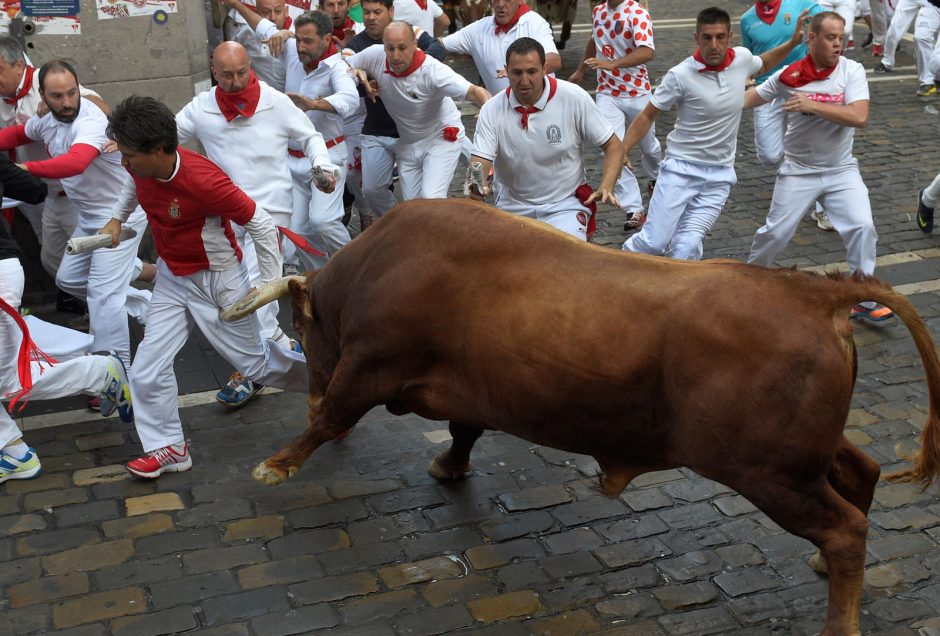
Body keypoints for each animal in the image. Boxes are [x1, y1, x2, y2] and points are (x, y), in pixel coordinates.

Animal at [226, 200, 940, 636]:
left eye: (303, 331)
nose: (306, 385)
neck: (377, 266)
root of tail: (816, 292)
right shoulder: (469, 392)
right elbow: (461, 431)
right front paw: (447, 466)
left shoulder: (369, 364)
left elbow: (327, 419)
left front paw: (274, 465)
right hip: (805, 455)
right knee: (863, 474)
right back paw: (824, 566)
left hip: (770, 471)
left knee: (845, 528)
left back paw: (839, 618)